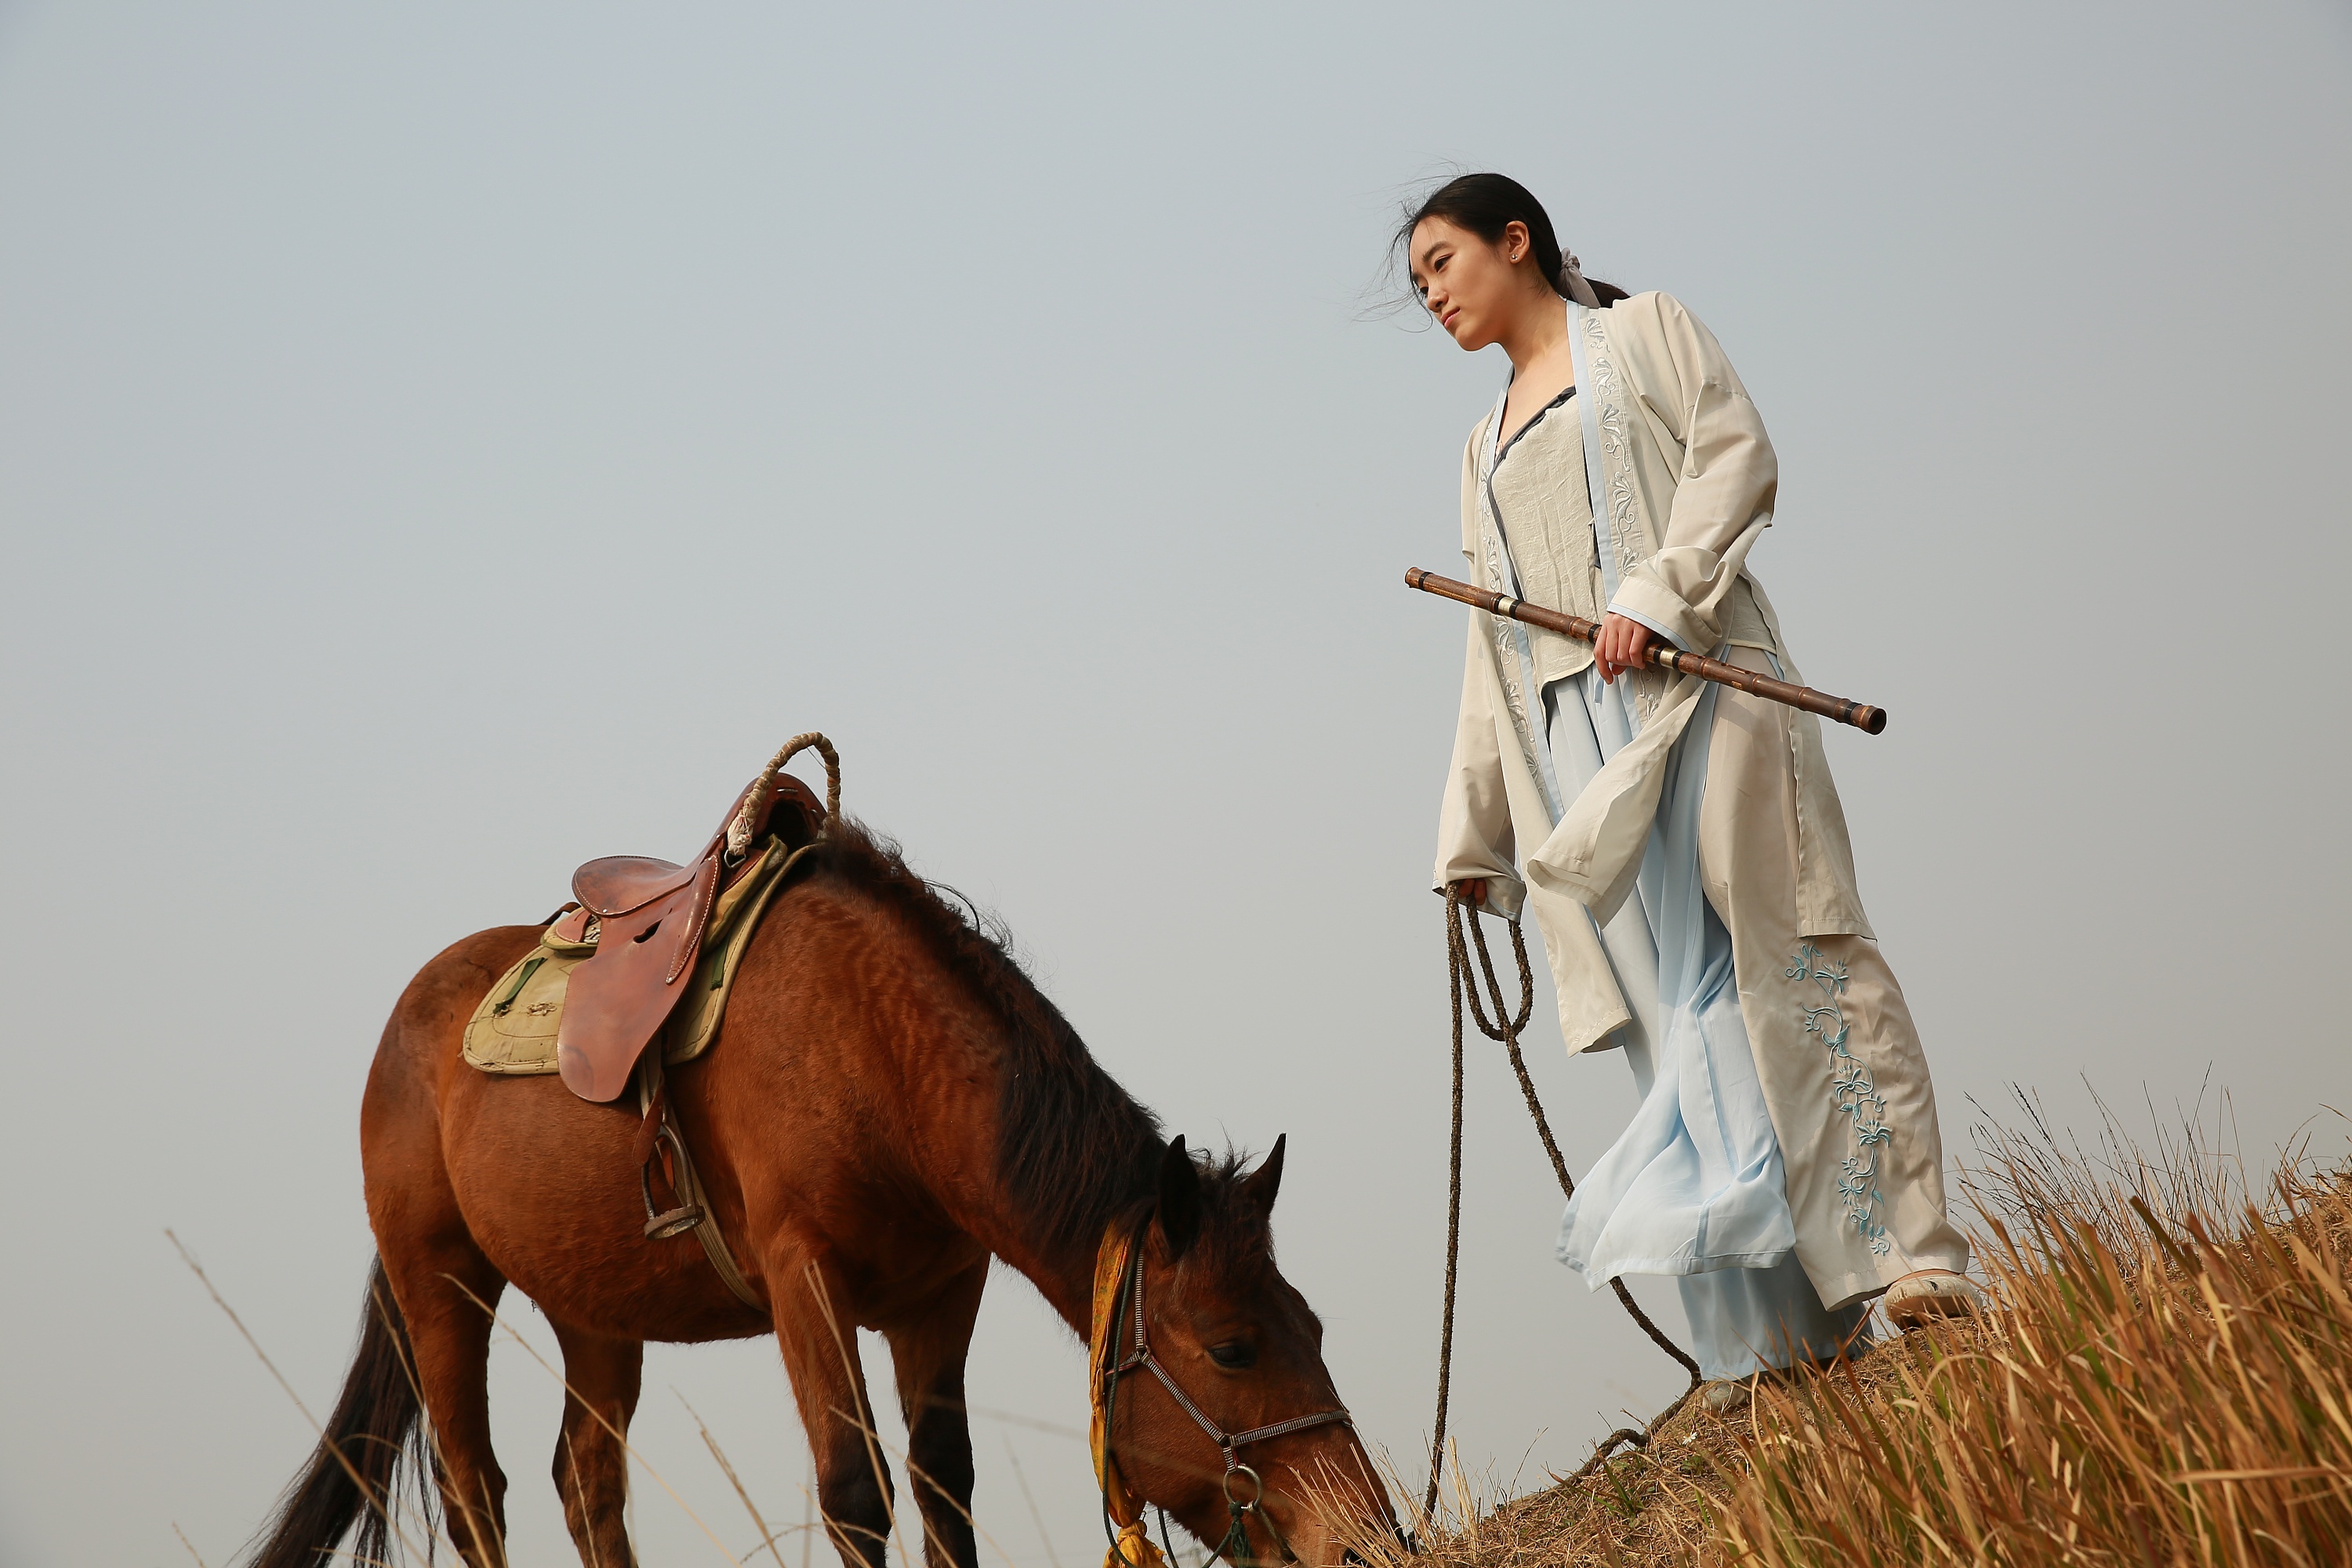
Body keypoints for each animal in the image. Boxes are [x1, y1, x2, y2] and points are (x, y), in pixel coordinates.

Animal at [243, 815, 1391, 1568]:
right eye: (1234, 1348)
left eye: (1315, 1328)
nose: (1367, 1539)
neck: (879, 1051)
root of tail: (414, 1017)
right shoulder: (806, 1281)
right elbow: (855, 1491)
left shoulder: (941, 1298)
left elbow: (943, 1485)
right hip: (441, 1282)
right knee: (475, 1489)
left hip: (594, 1314)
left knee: (589, 1485)